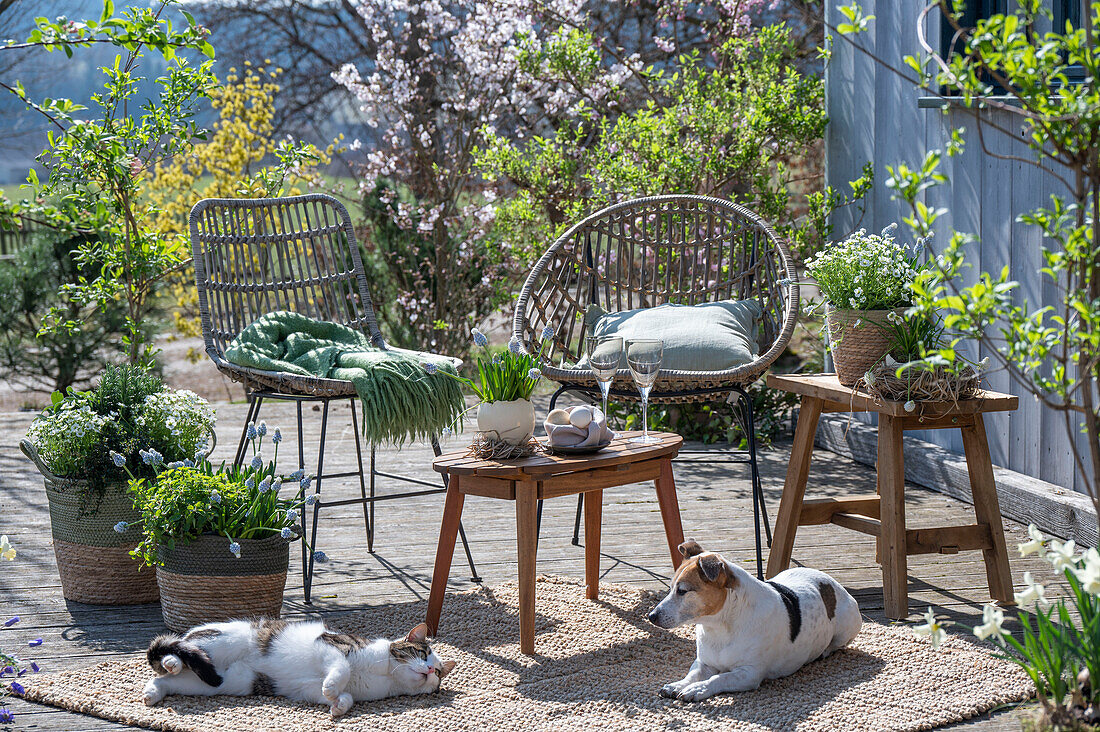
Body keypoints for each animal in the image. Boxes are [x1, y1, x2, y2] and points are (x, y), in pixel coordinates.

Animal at [143, 616, 455, 713]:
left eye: (439, 672)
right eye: (421, 653)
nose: (430, 669)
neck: (387, 676)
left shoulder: (307, 689)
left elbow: (345, 695)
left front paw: (338, 705)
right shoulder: (331, 645)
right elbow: (341, 669)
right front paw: (334, 688)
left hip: (221, 683)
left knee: (169, 679)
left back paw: (153, 691)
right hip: (224, 643)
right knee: (180, 649)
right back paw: (171, 659)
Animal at [646, 539, 862, 700]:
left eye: (682, 591)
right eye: (670, 588)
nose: (651, 616)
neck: (719, 627)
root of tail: (831, 581)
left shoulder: (749, 673)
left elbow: (720, 678)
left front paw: (697, 689)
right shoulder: (704, 662)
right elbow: (693, 674)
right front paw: (679, 684)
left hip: (847, 626)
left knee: (837, 644)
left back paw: (825, 651)